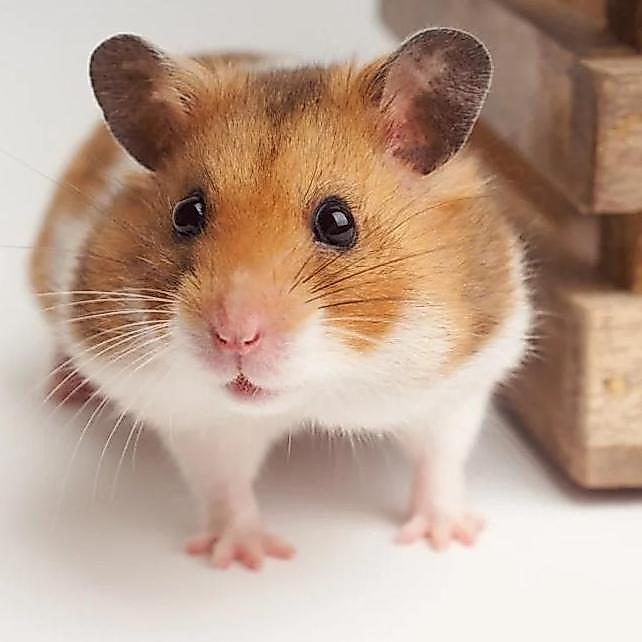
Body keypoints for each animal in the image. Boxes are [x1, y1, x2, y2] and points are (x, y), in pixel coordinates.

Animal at [30, 29, 531, 570]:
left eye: (338, 222)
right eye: (186, 214)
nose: (234, 336)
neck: (318, 390)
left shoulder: (458, 382)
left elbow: (440, 459)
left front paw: (447, 538)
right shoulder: (196, 416)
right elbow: (224, 486)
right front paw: (247, 558)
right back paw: (64, 389)